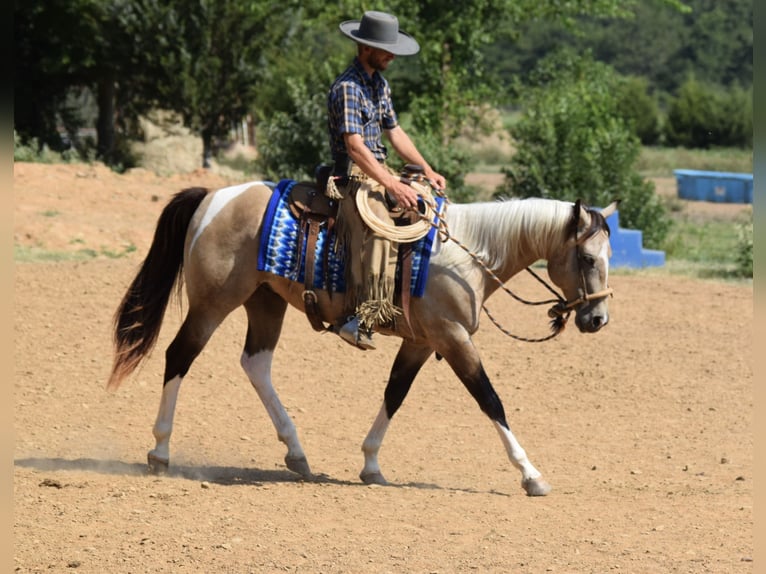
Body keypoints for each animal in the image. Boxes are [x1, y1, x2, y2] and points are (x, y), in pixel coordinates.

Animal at [107, 178, 618, 496]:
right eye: (588, 259)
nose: (597, 319)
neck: (467, 254)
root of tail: (214, 197)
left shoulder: (422, 341)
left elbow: (395, 393)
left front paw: (371, 464)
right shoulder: (452, 338)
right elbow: (490, 399)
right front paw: (531, 475)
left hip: (265, 301)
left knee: (256, 364)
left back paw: (296, 452)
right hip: (213, 304)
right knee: (179, 356)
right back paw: (161, 451)